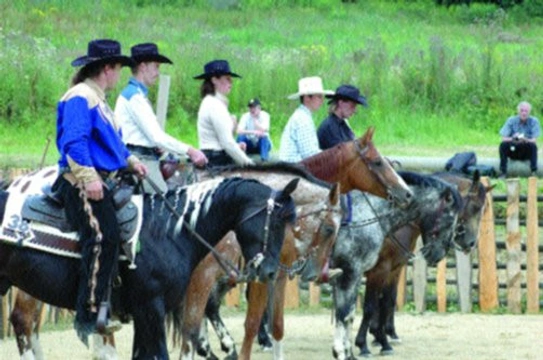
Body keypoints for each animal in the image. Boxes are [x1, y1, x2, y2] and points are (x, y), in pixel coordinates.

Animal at [354, 170, 496, 356]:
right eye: (474, 207)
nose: (471, 243)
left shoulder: (394, 269)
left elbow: (388, 300)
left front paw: (383, 335)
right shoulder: (380, 270)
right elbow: (372, 305)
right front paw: (370, 341)